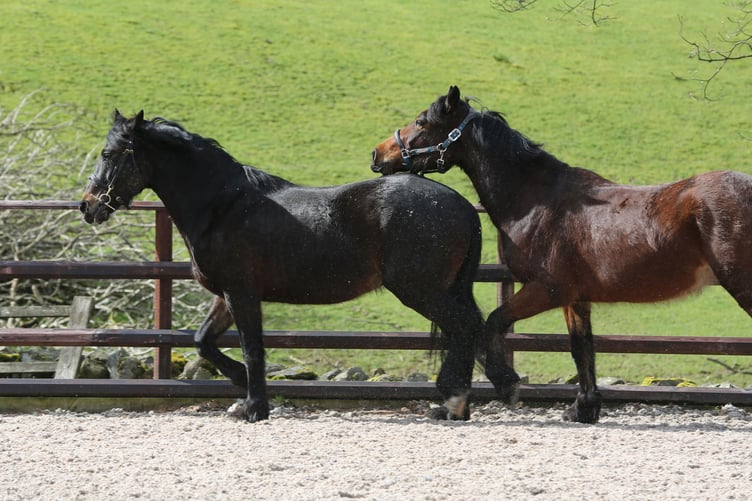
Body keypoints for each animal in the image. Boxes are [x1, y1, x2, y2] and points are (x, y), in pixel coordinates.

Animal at [79, 110, 512, 422]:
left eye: (110, 154)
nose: (88, 206)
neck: (223, 206)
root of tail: (459, 203)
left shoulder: (241, 293)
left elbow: (252, 348)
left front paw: (255, 407)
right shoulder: (227, 295)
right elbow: (203, 341)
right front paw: (241, 389)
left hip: (420, 289)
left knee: (465, 328)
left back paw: (455, 402)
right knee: (467, 330)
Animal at [371, 85, 752, 424]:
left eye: (421, 122)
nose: (378, 155)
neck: (536, 202)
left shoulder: (547, 290)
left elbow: (495, 321)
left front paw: (507, 384)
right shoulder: (575, 297)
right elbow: (581, 348)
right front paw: (584, 408)